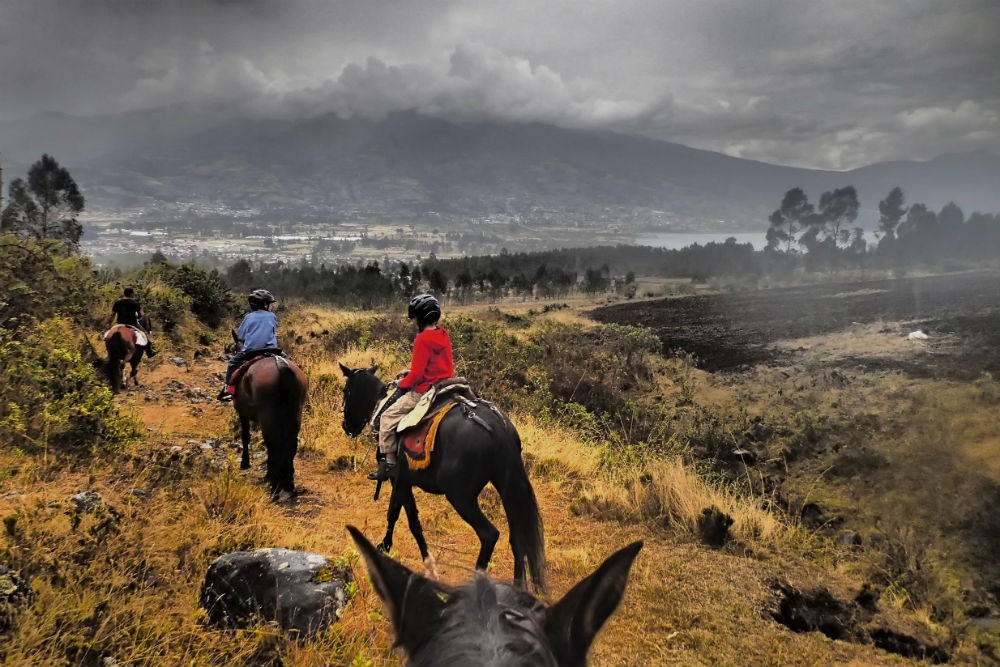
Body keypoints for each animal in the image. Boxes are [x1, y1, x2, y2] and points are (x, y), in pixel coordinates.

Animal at [233, 354, 308, 500]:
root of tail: (281, 366)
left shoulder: (242, 412)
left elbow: (245, 436)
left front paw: (245, 463)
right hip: (295, 413)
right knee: (290, 445)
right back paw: (289, 485)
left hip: (267, 414)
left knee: (273, 444)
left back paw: (275, 487)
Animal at [342, 368, 548, 592]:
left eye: (346, 391)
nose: (346, 426)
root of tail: (500, 430)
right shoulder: (402, 481)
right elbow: (397, 514)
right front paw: (386, 546)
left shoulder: (401, 479)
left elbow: (408, 519)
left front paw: (427, 564)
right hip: (507, 486)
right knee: (518, 538)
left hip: (460, 496)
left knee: (489, 534)